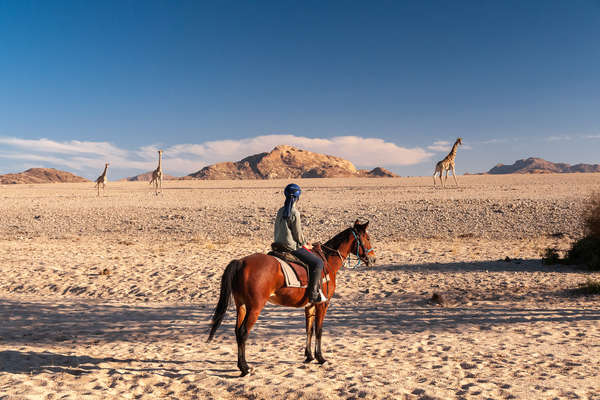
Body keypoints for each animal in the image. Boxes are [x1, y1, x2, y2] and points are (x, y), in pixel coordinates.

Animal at [206, 220, 376, 376]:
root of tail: (241, 262)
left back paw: (241, 365)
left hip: (241, 305)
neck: (328, 260)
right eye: (367, 237)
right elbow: (319, 330)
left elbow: (309, 329)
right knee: (243, 332)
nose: (373, 259)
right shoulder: (323, 304)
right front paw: (320, 357)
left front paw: (309, 356)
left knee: (237, 331)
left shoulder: (310, 305)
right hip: (254, 308)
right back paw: (245, 368)